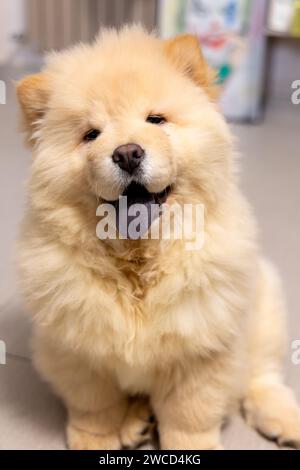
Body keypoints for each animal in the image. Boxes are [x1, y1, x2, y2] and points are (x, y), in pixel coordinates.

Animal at [16, 26, 300, 452]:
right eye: (91, 135)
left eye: (156, 119)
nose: (127, 152)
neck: (138, 260)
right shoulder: (76, 350)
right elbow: (94, 407)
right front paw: (95, 441)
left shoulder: (202, 352)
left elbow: (189, 417)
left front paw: (192, 448)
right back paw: (136, 422)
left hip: (265, 304)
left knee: (260, 376)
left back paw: (285, 419)